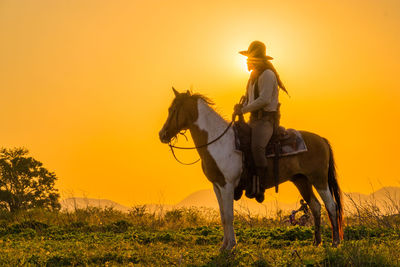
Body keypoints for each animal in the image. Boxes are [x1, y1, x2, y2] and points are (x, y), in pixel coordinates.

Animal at [159, 88, 344, 251]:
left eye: (173, 110)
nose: (162, 134)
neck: (218, 142)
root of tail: (321, 139)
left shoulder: (227, 185)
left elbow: (229, 216)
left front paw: (231, 246)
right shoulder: (217, 185)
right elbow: (222, 215)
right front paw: (223, 246)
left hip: (319, 179)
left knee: (331, 205)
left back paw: (335, 242)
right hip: (301, 180)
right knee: (316, 206)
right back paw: (317, 242)